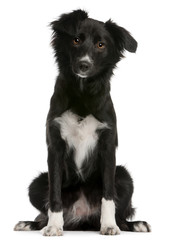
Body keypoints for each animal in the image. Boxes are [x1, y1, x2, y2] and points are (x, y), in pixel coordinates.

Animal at [14, 9, 151, 236]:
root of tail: (82, 218)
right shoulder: (55, 146)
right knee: (45, 208)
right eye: (76, 40)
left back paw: (133, 224)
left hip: (125, 177)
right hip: (37, 183)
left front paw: (109, 225)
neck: (82, 92)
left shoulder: (107, 146)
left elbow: (108, 195)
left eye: (101, 44)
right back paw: (31, 224)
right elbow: (54, 195)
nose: (83, 65)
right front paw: (54, 226)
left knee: (121, 214)